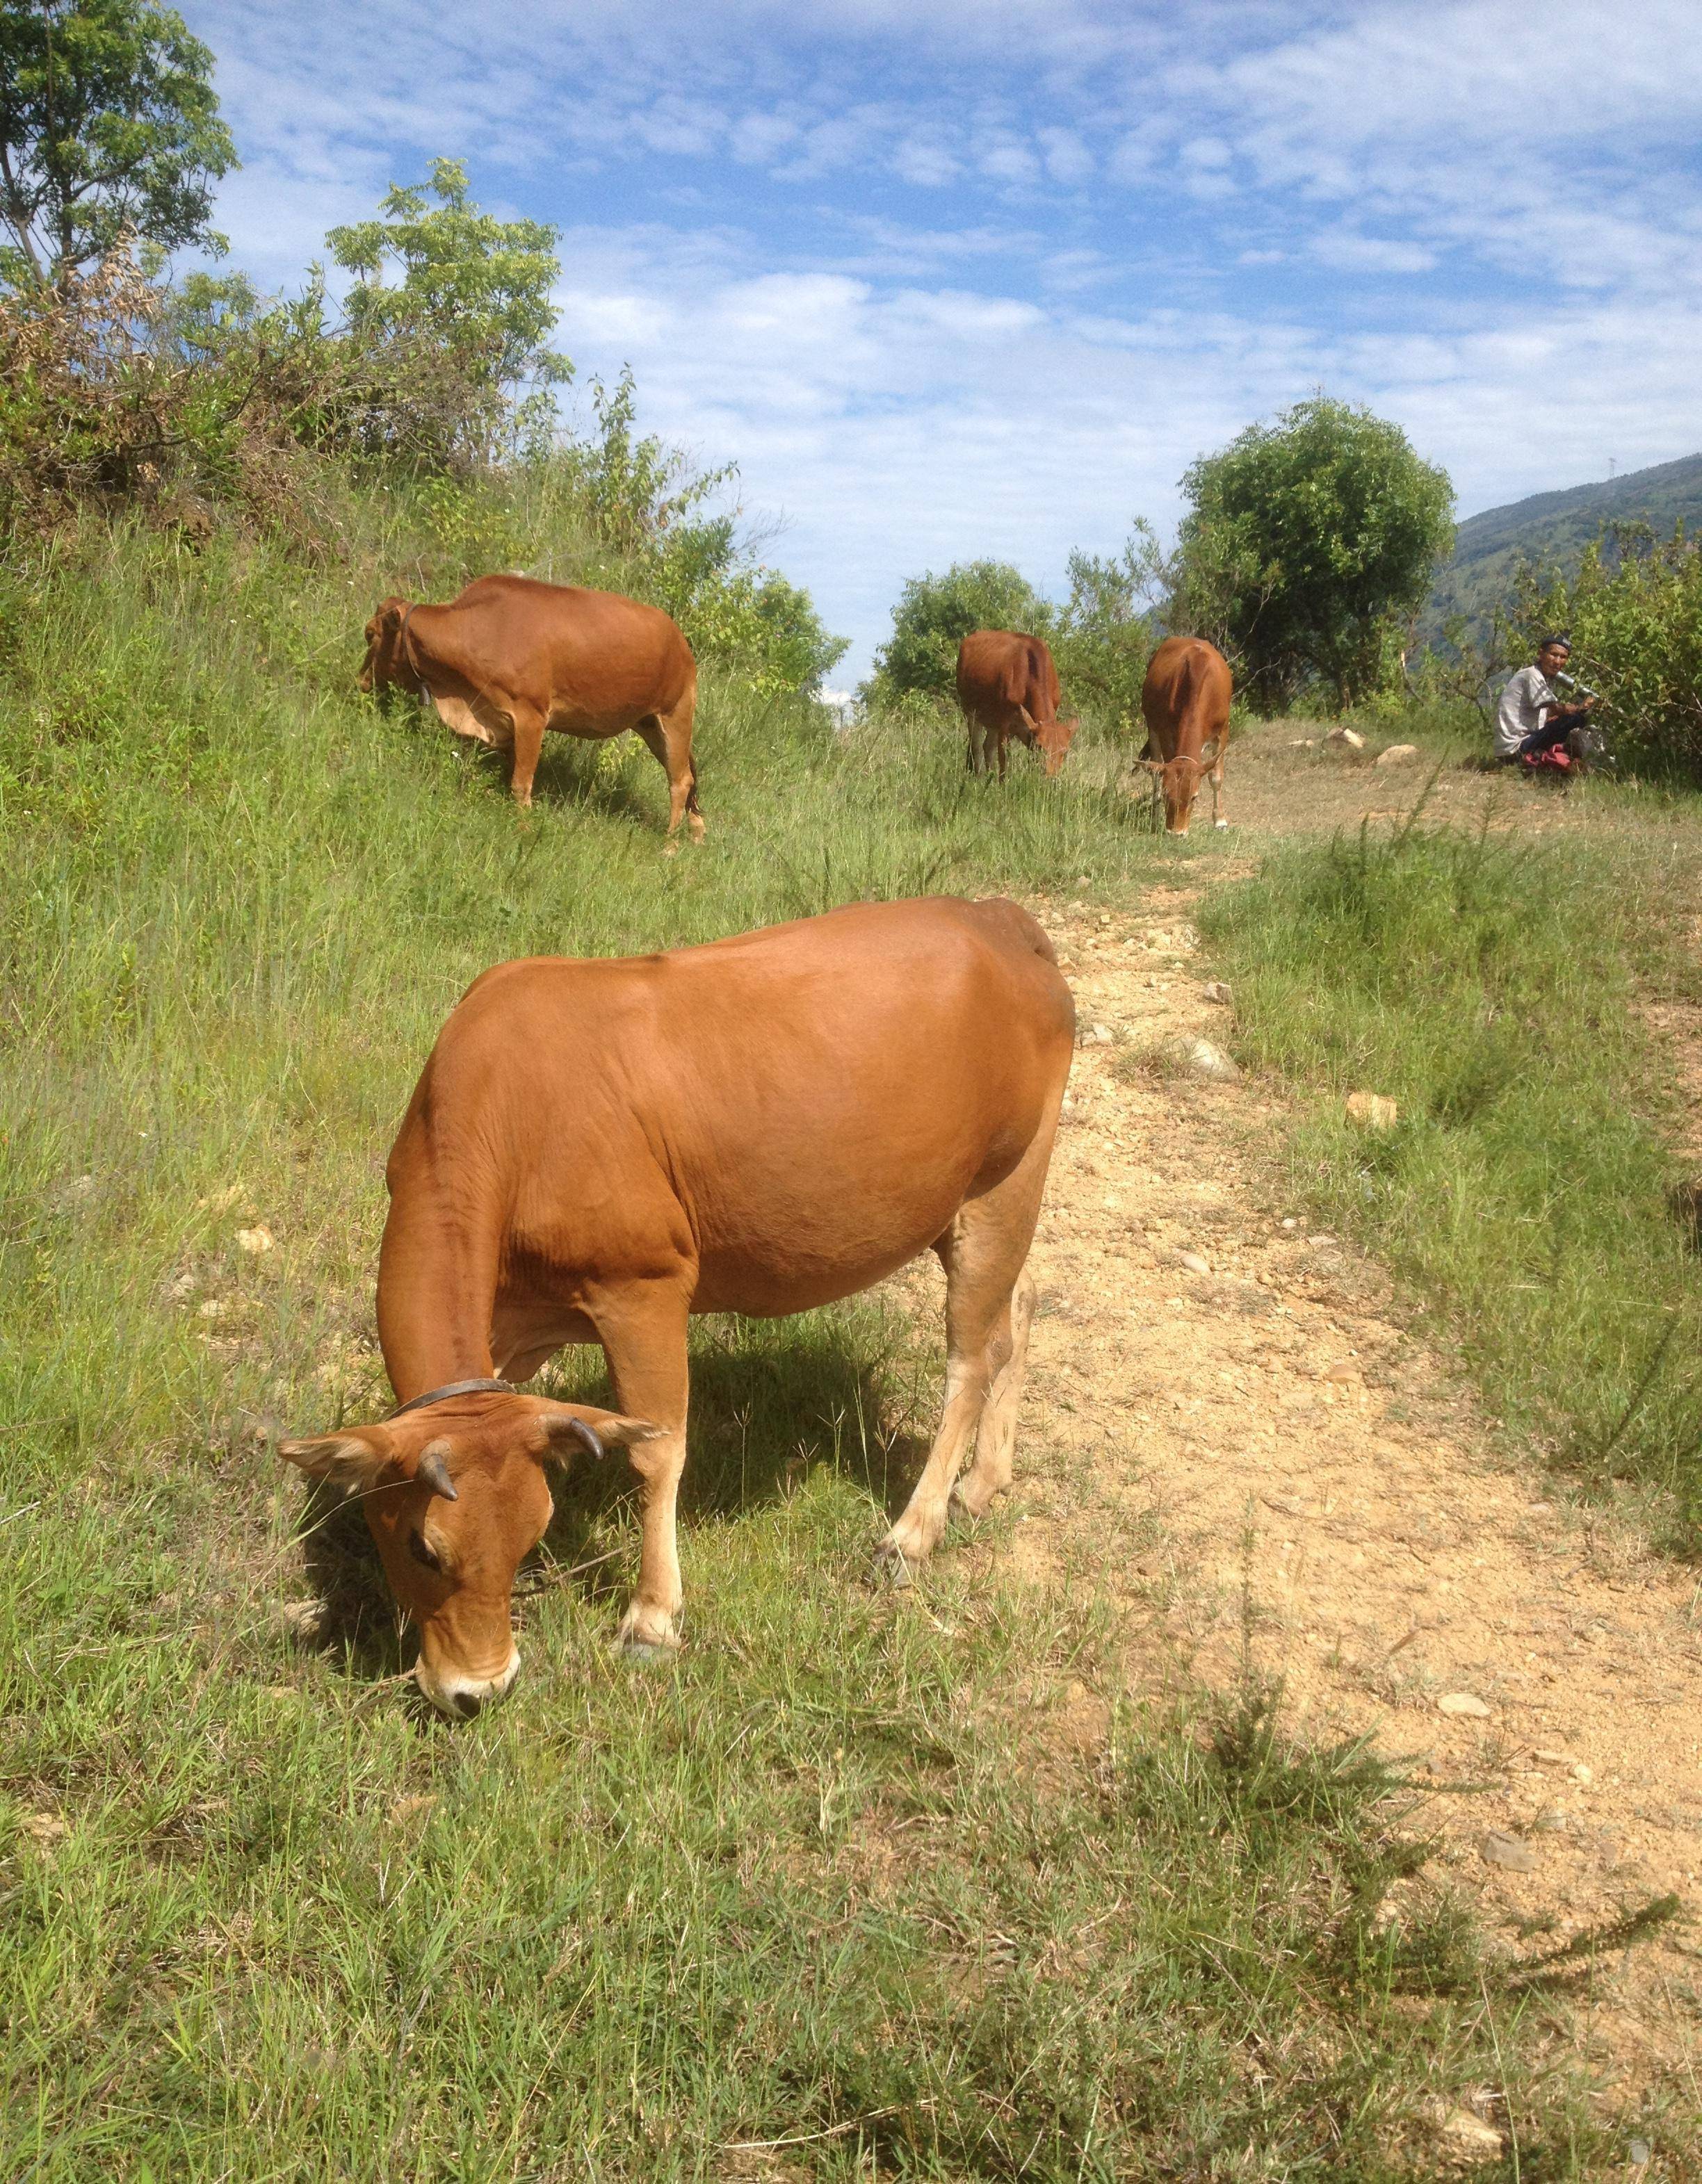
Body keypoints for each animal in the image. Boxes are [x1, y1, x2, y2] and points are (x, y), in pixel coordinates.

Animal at [279, 895, 1079, 1712]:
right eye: (421, 1547)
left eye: (532, 1532)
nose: (482, 1689)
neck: (507, 1113)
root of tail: (996, 917)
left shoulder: (643, 1286)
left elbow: (659, 1448)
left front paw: (653, 1617)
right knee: (1018, 1309)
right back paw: (980, 1483)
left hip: (1005, 1179)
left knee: (971, 1356)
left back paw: (913, 1531)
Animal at [360, 572, 703, 842]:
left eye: (370, 634)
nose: (361, 680)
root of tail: (681, 641)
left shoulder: (531, 716)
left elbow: (521, 783)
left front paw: (524, 829)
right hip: (649, 723)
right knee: (688, 771)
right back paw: (697, 833)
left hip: (675, 714)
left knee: (680, 780)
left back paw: (669, 845)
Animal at [957, 628, 1079, 781]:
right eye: (1040, 747)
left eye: (1065, 751)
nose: (1051, 778)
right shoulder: (1005, 725)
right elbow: (1004, 764)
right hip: (970, 712)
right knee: (976, 748)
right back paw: (978, 778)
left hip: (991, 721)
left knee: (987, 747)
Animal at [1136, 637, 1232, 834]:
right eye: (1167, 794)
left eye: (1194, 797)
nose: (1176, 833)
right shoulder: (1165, 732)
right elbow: (1161, 769)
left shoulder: (1223, 732)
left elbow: (1216, 778)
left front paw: (1220, 820)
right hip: (1152, 727)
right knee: (1155, 770)